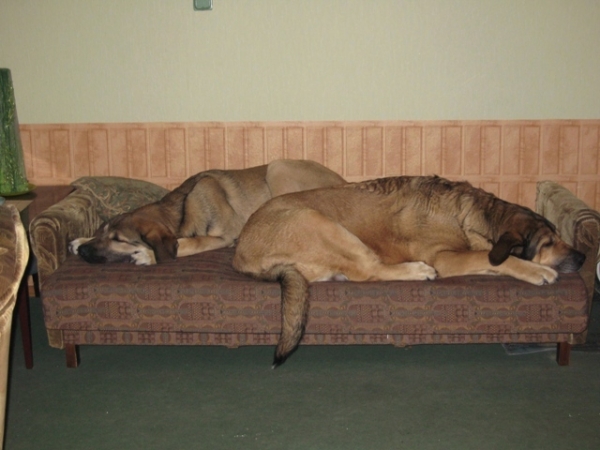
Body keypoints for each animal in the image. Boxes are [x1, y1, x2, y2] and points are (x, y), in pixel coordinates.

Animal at [70, 159, 344, 266]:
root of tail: (343, 181)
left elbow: (187, 243)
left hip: (277, 168)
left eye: (119, 240)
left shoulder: (222, 236)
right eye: (102, 232)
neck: (181, 209)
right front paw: (81, 239)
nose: (84, 252)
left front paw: (148, 254)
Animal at [233, 174, 584, 368]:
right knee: (368, 270)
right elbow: (496, 258)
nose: (582, 257)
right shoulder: (445, 257)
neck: (479, 215)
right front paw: (535, 270)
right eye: (548, 243)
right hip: (319, 221)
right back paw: (416, 271)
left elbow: (490, 262)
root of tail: (239, 254)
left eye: (559, 236)